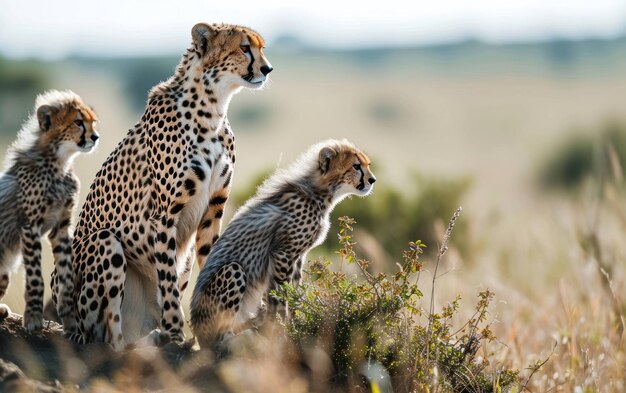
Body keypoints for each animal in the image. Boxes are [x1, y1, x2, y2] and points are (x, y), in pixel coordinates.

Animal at [0, 89, 98, 330]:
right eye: (78, 122)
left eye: (93, 122)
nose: (95, 137)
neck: (60, 162)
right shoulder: (30, 226)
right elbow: (36, 277)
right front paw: (34, 317)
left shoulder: (61, 228)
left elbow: (67, 275)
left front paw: (70, 319)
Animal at [58, 22, 270, 350]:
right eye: (244, 48)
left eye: (261, 48)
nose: (267, 68)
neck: (213, 109)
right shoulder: (165, 216)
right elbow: (168, 281)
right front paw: (175, 332)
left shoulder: (213, 211)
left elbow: (211, 261)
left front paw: (212, 328)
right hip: (103, 246)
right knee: (107, 337)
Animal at [190, 139, 372, 348]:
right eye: (356, 166)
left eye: (368, 165)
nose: (372, 180)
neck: (319, 192)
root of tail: (197, 332)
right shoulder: (283, 253)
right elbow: (280, 296)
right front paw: (281, 331)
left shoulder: (298, 256)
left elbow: (293, 292)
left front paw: (295, 326)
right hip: (232, 270)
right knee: (219, 339)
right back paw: (241, 338)